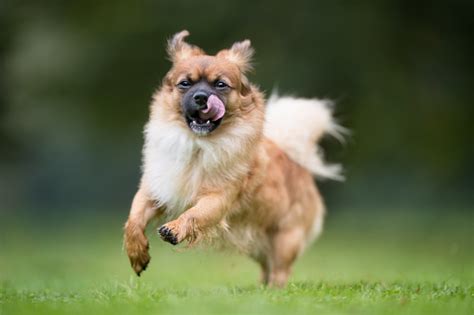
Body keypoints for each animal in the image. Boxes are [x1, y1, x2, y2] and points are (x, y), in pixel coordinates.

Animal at [123, 30, 344, 288]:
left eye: (221, 85)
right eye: (185, 84)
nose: (201, 97)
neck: (198, 145)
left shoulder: (218, 199)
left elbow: (194, 214)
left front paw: (175, 228)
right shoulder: (154, 190)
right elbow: (133, 220)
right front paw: (137, 253)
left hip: (285, 238)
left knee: (280, 270)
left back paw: (274, 290)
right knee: (267, 267)